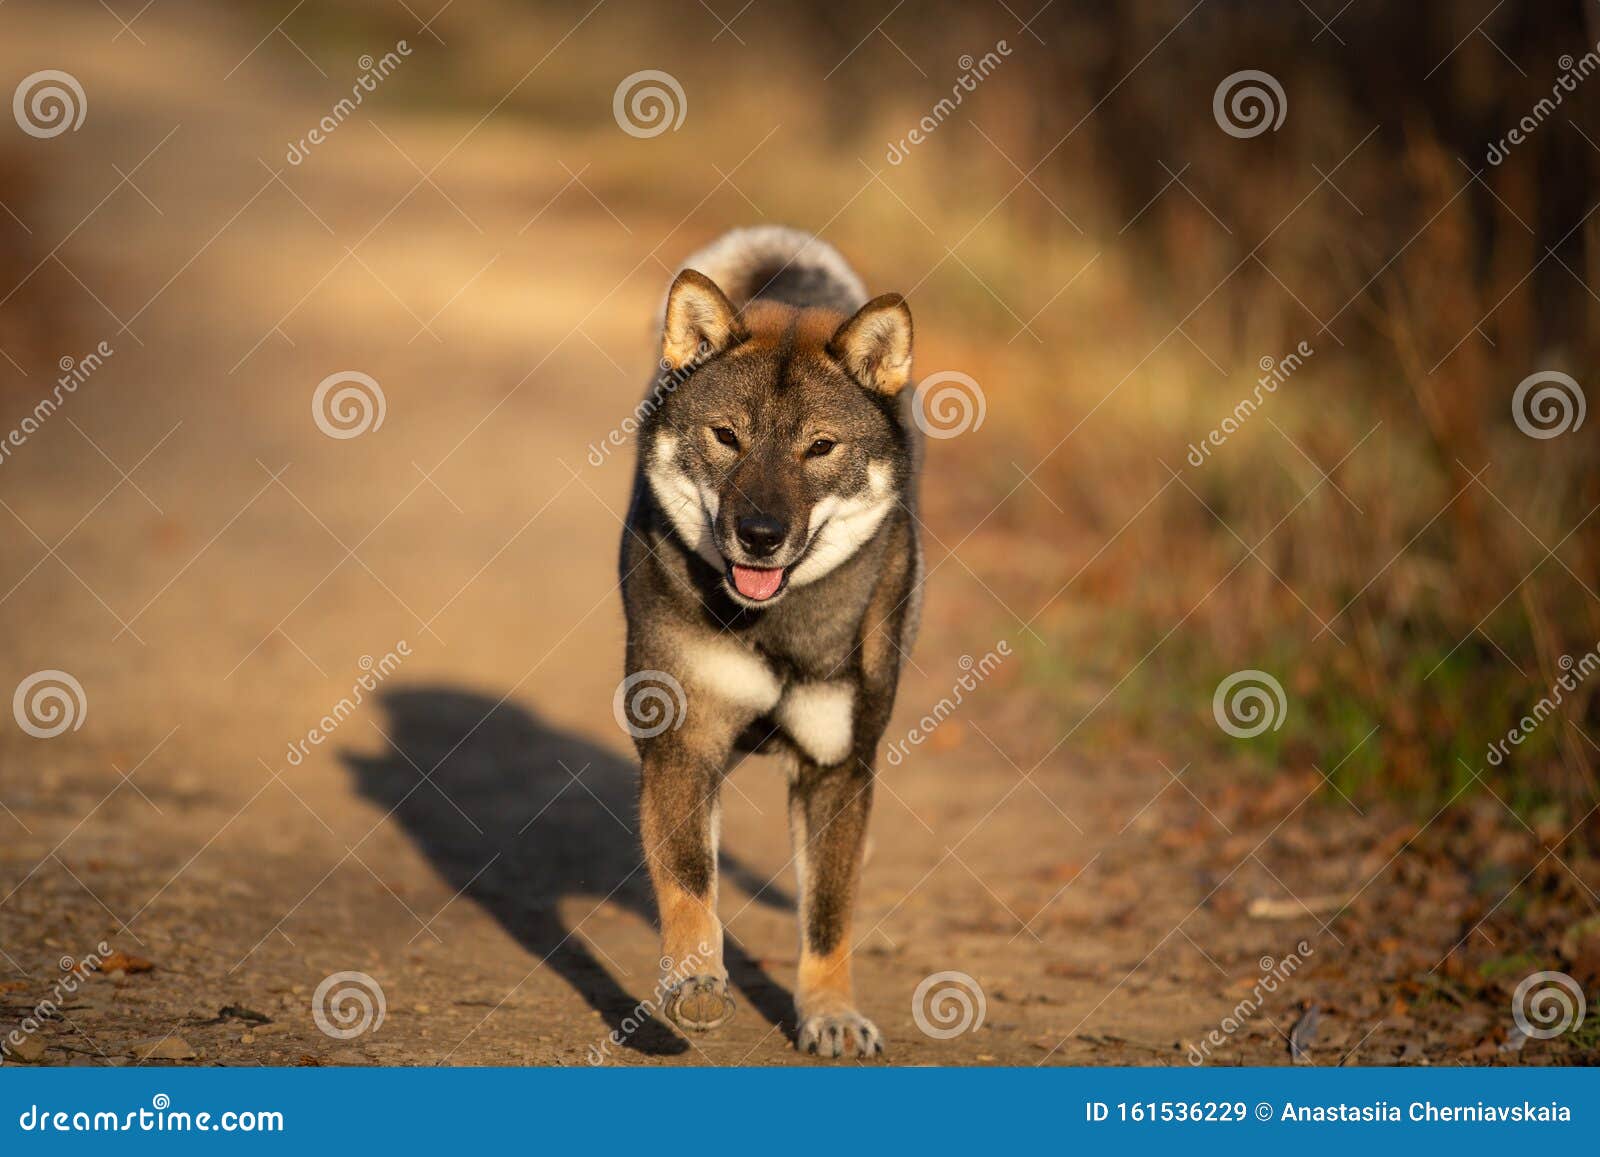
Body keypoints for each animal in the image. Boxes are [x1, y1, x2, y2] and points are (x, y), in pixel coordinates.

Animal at [624, 224, 928, 1056]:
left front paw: (830, 1012)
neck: (775, 628)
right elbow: (689, 881)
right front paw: (695, 982)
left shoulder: (836, 769)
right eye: (727, 436)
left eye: (820, 447)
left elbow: (828, 913)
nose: (760, 534)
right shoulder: (685, 739)